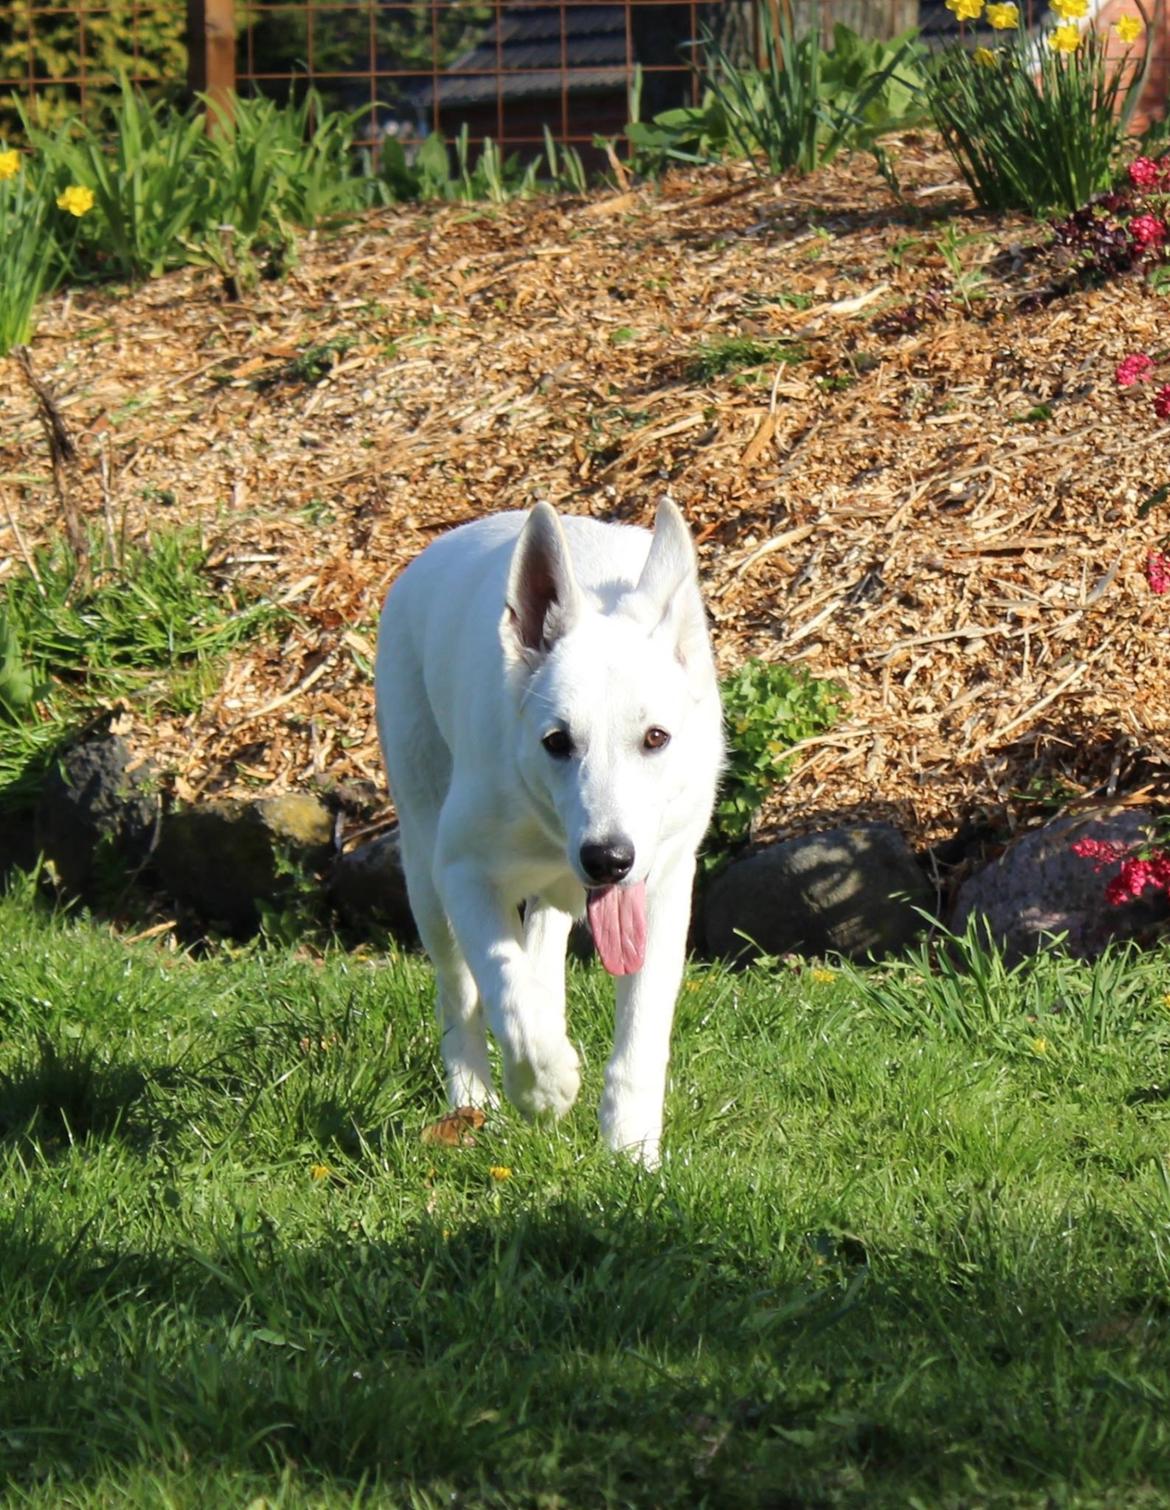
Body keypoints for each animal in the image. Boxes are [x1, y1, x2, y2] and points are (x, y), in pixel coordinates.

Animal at [375, 501, 721, 1159]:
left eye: (656, 738)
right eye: (557, 742)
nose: (608, 858)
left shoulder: (664, 884)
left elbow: (642, 1029)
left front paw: (631, 1151)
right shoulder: (464, 874)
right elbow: (503, 984)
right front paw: (544, 1087)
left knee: (543, 940)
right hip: (424, 870)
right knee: (460, 993)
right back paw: (474, 1100)